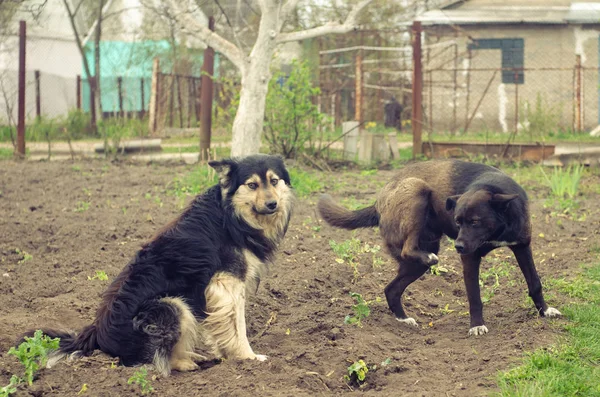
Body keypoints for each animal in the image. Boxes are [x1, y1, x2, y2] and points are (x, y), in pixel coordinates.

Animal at [28, 154, 296, 374]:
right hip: (172, 305)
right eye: (252, 185)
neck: (231, 215)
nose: (272, 204)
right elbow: (237, 327)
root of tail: (96, 334)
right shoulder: (227, 284)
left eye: (274, 181)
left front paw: (227, 355)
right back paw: (186, 363)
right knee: (159, 361)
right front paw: (248, 358)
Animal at [322, 159, 560, 336]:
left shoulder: (522, 246)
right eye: (457, 221)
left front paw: (545, 311)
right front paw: (477, 326)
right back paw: (427, 260)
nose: (458, 246)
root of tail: (379, 202)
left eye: (475, 222)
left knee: (391, 289)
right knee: (409, 250)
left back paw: (403, 319)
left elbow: (535, 283)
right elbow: (474, 295)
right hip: (417, 192)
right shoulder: (470, 258)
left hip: (417, 261)